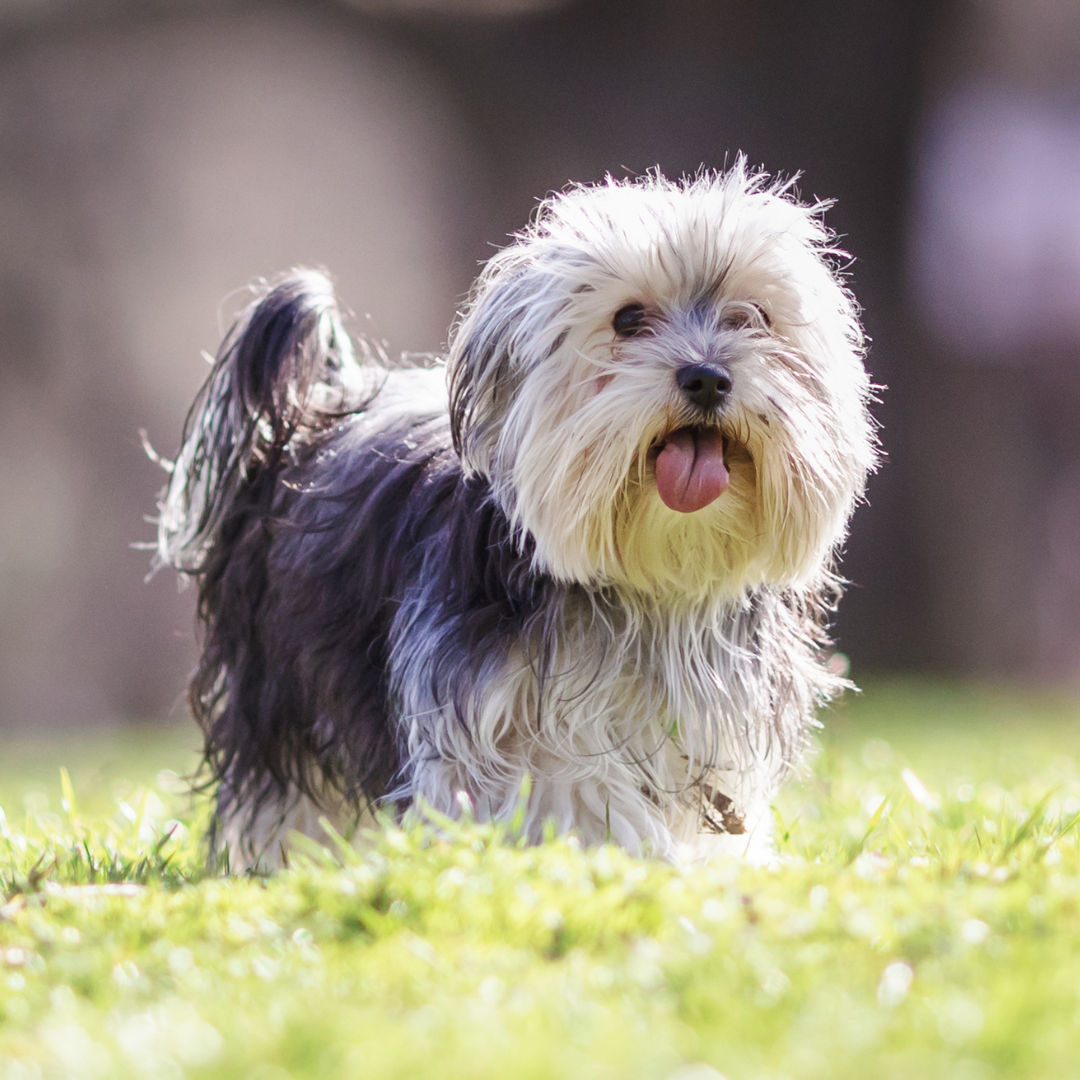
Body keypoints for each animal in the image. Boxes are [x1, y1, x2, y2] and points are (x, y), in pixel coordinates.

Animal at [154, 159, 876, 868]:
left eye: (754, 317)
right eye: (627, 320)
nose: (706, 376)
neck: (655, 588)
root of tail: (310, 414)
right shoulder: (500, 715)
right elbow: (572, 788)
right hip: (278, 682)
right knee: (283, 785)